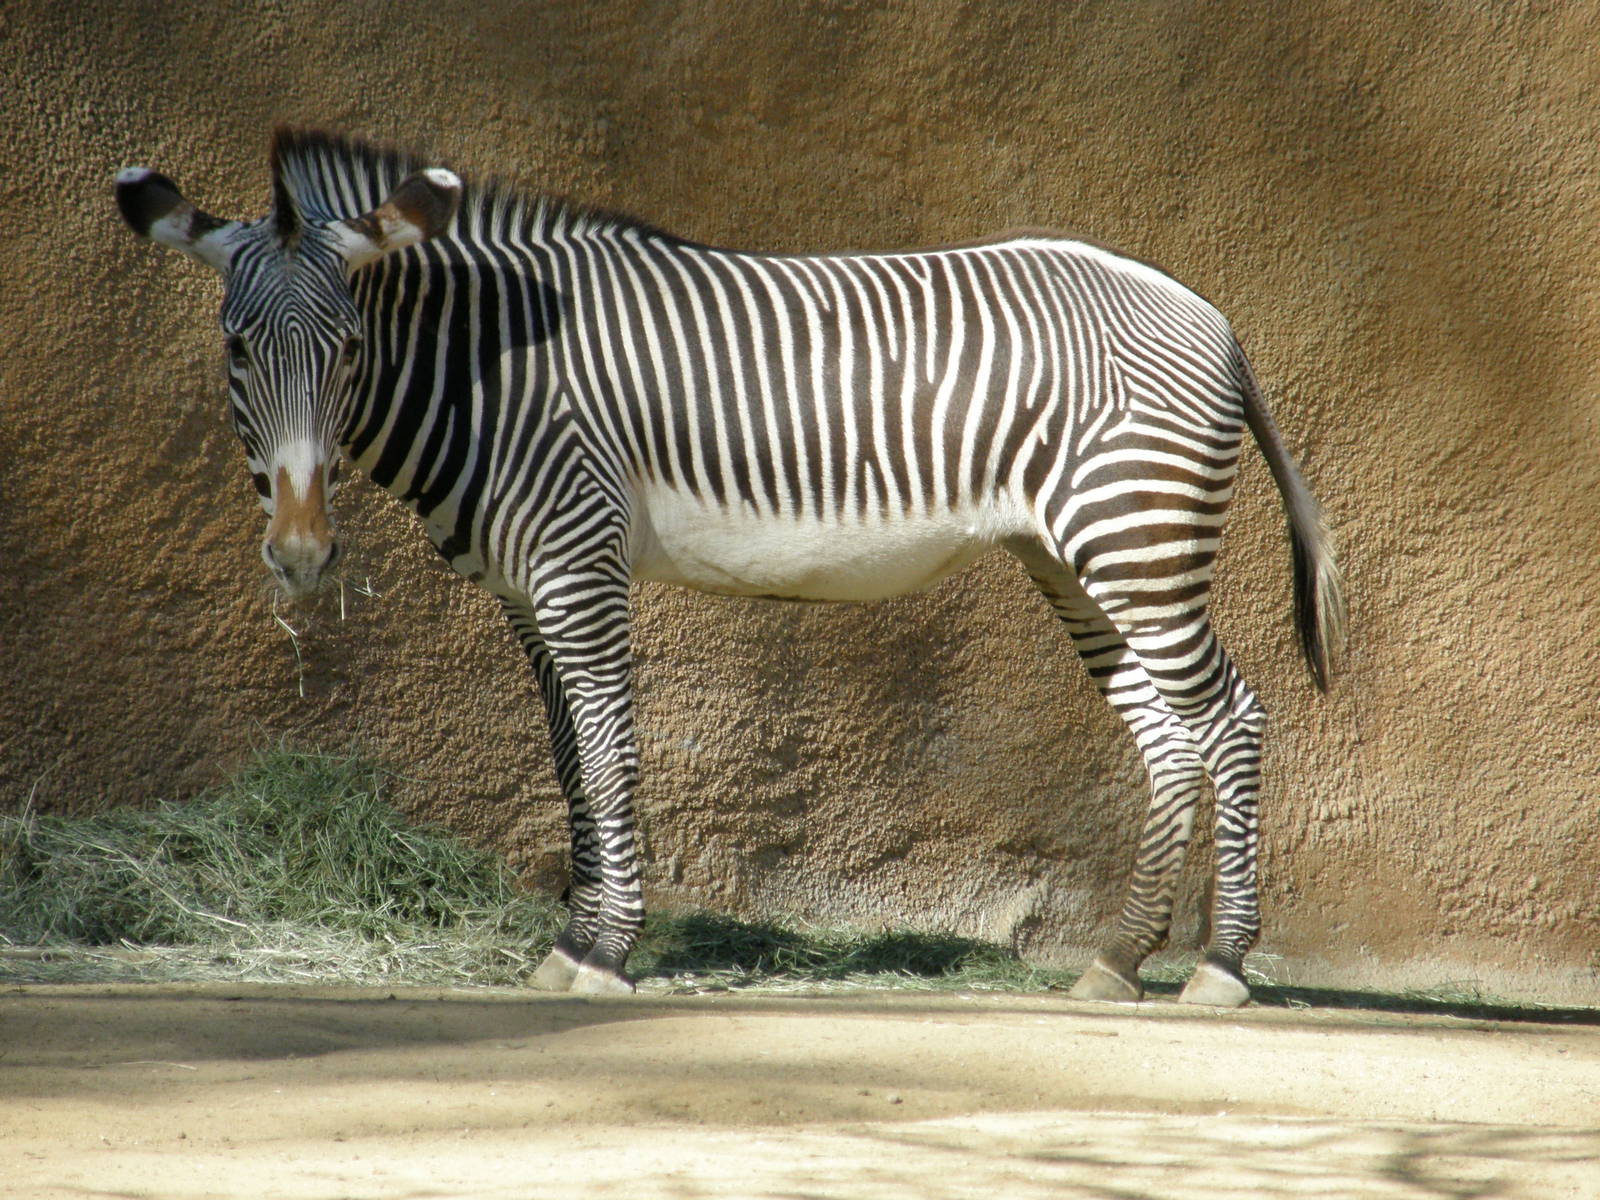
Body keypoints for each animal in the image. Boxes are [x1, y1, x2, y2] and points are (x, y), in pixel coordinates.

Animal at [114, 129, 1344, 1007]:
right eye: (235, 347)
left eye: (350, 350)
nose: (303, 555)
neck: (488, 372)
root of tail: (1206, 312)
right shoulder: (525, 593)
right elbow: (568, 762)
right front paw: (576, 937)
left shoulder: (578, 560)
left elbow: (609, 754)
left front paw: (607, 952)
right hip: (1074, 559)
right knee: (1171, 735)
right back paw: (1119, 960)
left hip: (1133, 538)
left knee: (1229, 717)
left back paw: (1220, 967)